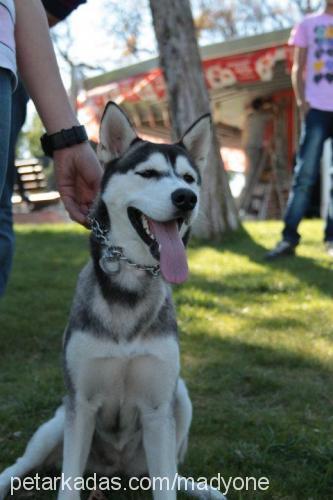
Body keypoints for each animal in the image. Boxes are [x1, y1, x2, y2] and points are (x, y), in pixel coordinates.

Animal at [0, 103, 224, 500]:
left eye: (189, 178)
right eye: (148, 173)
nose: (186, 197)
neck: (129, 288)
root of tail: (114, 471)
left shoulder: (158, 409)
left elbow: (166, 483)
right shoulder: (81, 406)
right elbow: (68, 483)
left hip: (179, 398)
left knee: (168, 471)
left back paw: (199, 488)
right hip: (55, 425)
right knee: (23, 464)